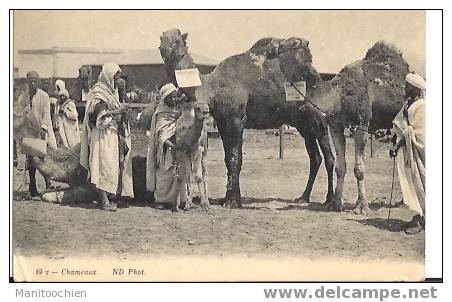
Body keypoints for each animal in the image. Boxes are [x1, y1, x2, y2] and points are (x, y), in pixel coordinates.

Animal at [159, 28, 336, 208]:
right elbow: (228, 159)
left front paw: (232, 201)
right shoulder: (223, 122)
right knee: (315, 157)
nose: (165, 36)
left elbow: (235, 158)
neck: (211, 87)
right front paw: (227, 198)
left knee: (329, 157)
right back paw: (303, 197)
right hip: (302, 123)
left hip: (318, 119)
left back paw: (329, 201)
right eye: (162, 39)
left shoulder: (236, 120)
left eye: (179, 41)